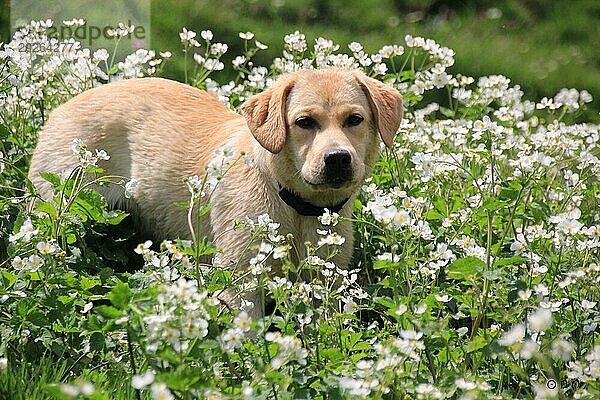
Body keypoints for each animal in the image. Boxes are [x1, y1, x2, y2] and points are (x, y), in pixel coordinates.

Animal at [29, 67, 404, 314]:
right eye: (304, 123)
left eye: (354, 119)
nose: (338, 158)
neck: (297, 206)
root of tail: (60, 107)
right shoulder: (240, 280)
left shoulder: (328, 279)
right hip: (58, 214)